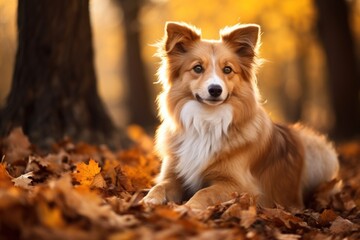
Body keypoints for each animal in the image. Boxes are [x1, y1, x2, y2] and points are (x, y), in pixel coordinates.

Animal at [141, 22, 340, 210]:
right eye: (197, 68)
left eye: (228, 70)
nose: (215, 89)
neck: (207, 120)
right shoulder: (174, 174)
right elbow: (160, 186)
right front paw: (147, 201)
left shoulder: (243, 186)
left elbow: (205, 192)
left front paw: (188, 208)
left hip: (319, 153)